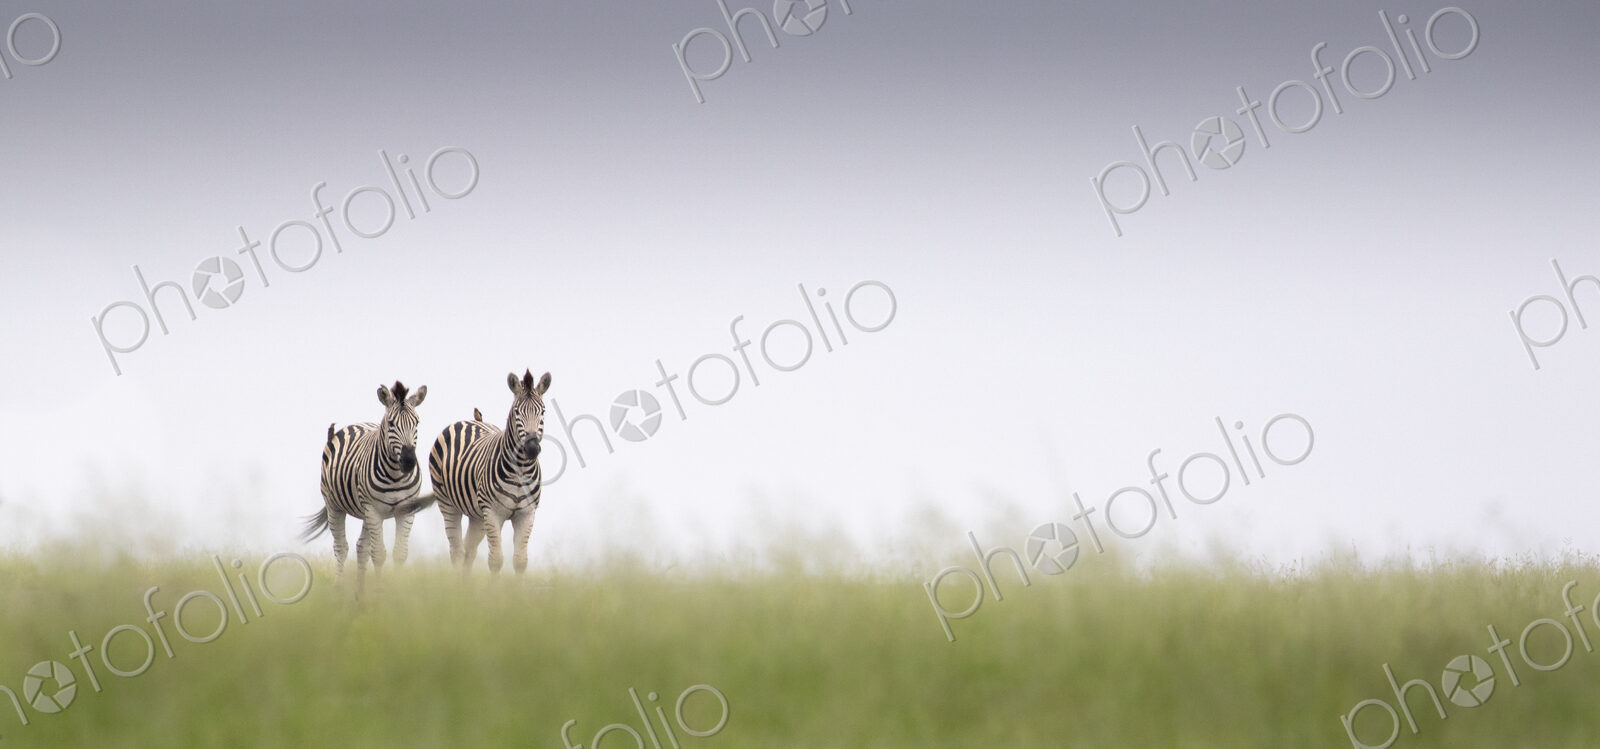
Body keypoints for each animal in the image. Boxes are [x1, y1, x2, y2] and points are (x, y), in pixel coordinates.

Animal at [300, 381, 434, 590]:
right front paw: (379, 593)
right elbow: (378, 554)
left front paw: (397, 590)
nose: (408, 462)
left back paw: (360, 592)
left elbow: (399, 554)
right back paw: (338, 589)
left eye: (417, 422)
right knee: (341, 547)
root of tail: (356, 424)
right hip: (335, 506)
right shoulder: (373, 509)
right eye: (391, 424)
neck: (396, 476)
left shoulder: (406, 510)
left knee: (361, 548)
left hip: (365, 512)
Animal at [429, 370, 550, 574]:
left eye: (543, 411)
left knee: (469, 551)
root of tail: (469, 420)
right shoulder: (493, 512)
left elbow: (520, 561)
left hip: (478, 516)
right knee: (457, 552)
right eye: (516, 412)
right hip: (448, 504)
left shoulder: (526, 513)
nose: (532, 448)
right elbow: (496, 560)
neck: (521, 468)